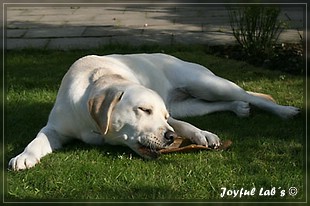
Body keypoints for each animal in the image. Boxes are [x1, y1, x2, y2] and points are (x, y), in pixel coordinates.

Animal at [10, 53, 300, 171]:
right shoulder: (54, 129)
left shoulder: (173, 117)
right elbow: (38, 140)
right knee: (218, 104)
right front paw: (24, 156)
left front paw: (203, 135)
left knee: (248, 95)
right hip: (190, 103)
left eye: (162, 116)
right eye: (143, 109)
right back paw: (239, 109)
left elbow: (183, 125)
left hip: (207, 84)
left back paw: (285, 111)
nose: (170, 138)